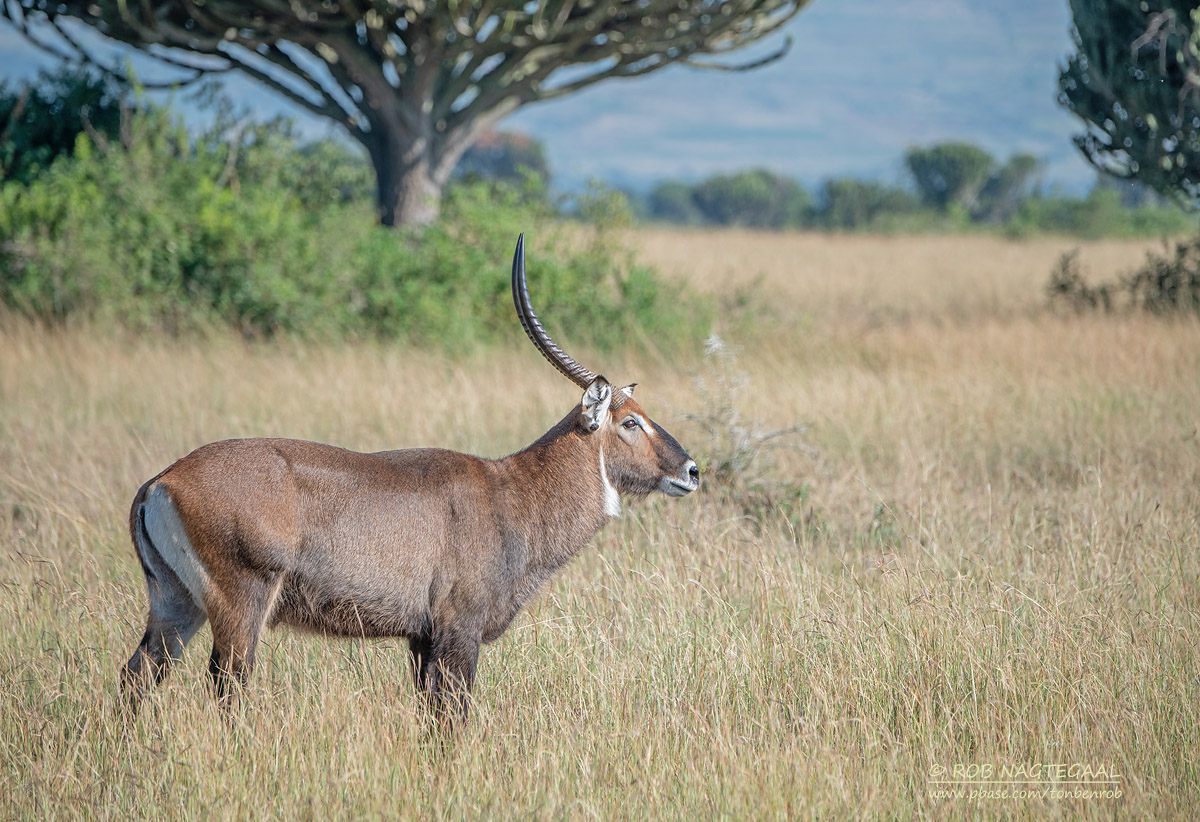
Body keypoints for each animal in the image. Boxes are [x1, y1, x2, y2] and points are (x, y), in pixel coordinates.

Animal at [119, 234, 700, 720]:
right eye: (630, 422)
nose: (691, 470)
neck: (514, 491)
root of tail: (162, 481)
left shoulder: (422, 642)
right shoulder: (457, 634)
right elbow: (452, 721)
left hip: (176, 605)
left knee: (137, 676)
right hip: (240, 608)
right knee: (227, 686)